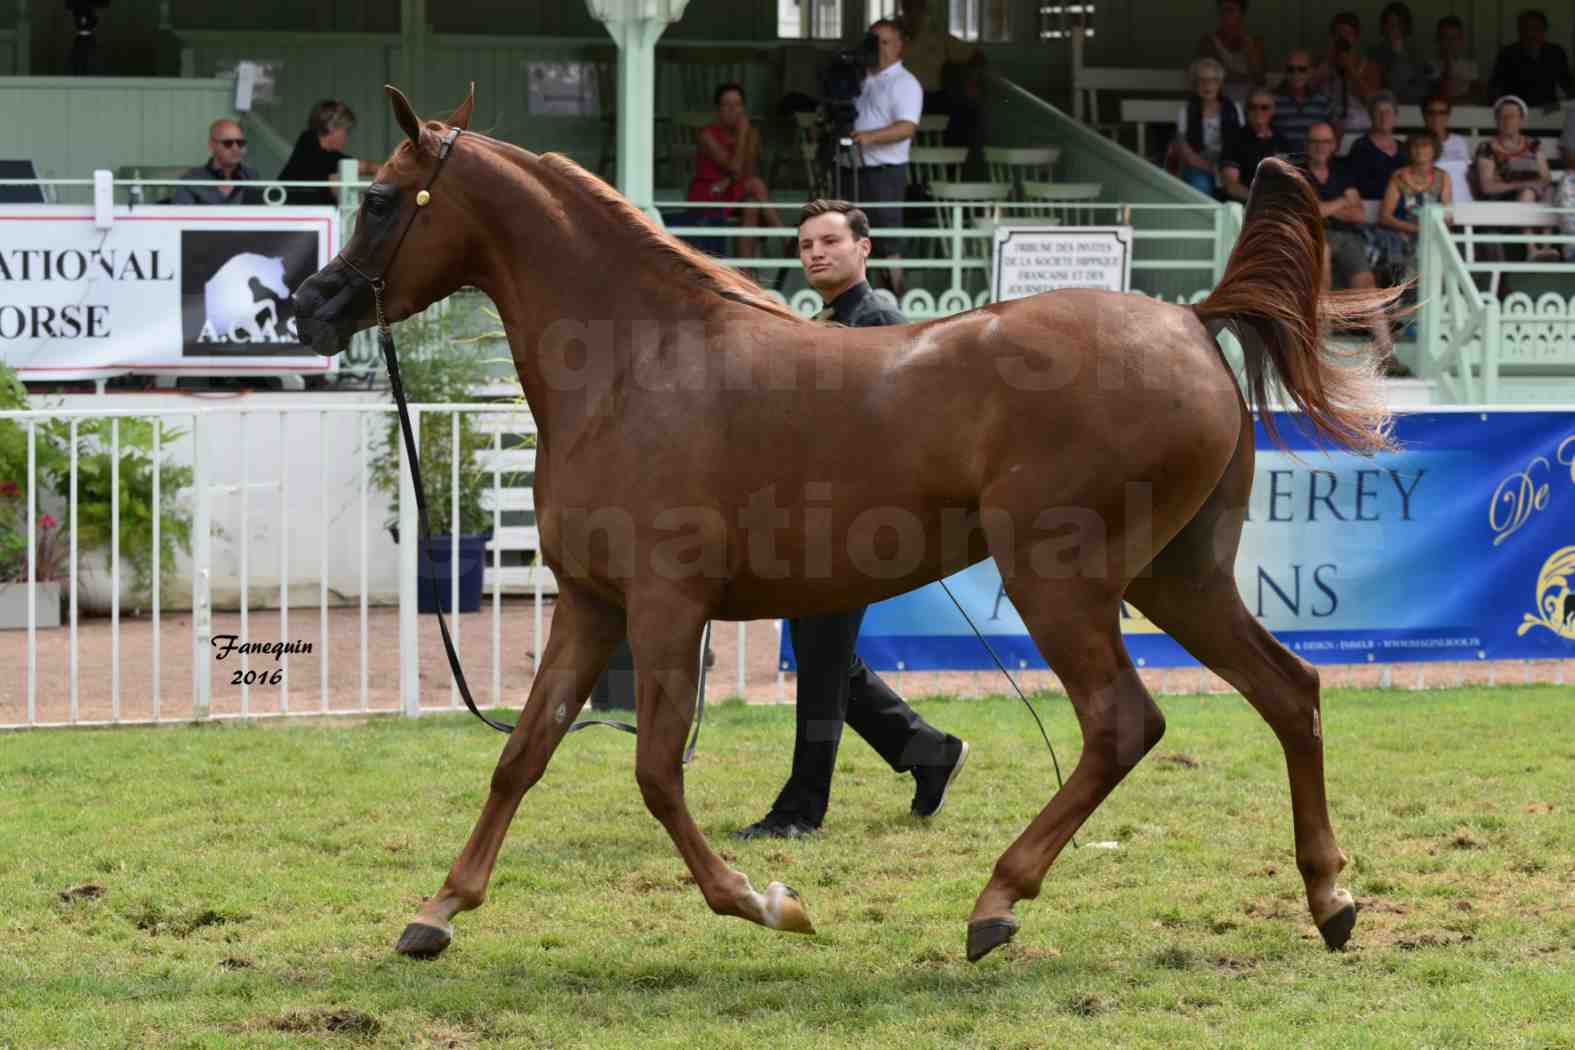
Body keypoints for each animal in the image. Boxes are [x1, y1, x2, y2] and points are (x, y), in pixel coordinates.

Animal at [296, 86, 1404, 963]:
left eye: (384, 199)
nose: (310, 303)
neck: (638, 362)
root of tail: (1188, 319)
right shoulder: (590, 603)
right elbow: (521, 755)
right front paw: (437, 913)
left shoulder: (664, 605)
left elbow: (655, 773)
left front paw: (768, 902)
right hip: (1178, 577)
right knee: (1290, 691)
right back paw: (1330, 898)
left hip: (1063, 579)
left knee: (1123, 722)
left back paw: (997, 902)